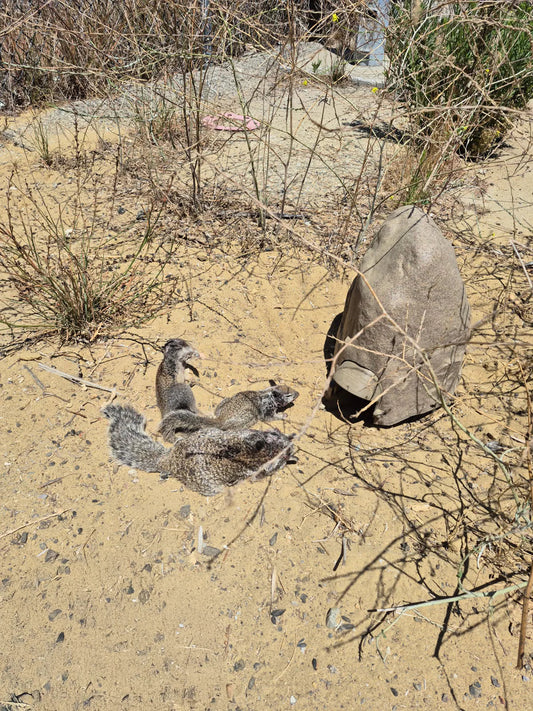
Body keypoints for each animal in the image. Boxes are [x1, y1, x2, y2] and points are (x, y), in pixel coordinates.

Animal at [157, 384, 299, 443]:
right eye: (288, 395)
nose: (298, 393)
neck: (269, 395)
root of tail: (221, 418)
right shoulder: (267, 410)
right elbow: (270, 418)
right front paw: (283, 415)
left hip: (224, 401)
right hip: (248, 417)